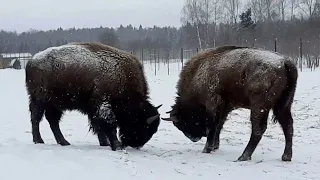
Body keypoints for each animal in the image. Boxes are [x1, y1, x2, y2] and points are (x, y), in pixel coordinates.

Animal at [24, 41, 162, 150]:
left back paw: (64, 142)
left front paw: (105, 143)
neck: (122, 75)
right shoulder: (103, 104)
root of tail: (31, 61)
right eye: (143, 125)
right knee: (36, 118)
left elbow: (98, 125)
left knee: (52, 120)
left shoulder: (94, 109)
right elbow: (109, 125)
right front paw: (116, 145)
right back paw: (39, 140)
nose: (135, 145)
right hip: (40, 100)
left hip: (55, 103)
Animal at [162, 46, 298, 162]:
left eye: (184, 122)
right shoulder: (225, 108)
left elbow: (213, 126)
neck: (199, 71)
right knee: (288, 126)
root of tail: (284, 62)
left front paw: (207, 149)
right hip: (283, 106)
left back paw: (243, 156)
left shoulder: (213, 105)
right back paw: (286, 156)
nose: (194, 138)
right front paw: (215, 146)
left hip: (259, 107)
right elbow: (219, 126)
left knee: (258, 129)